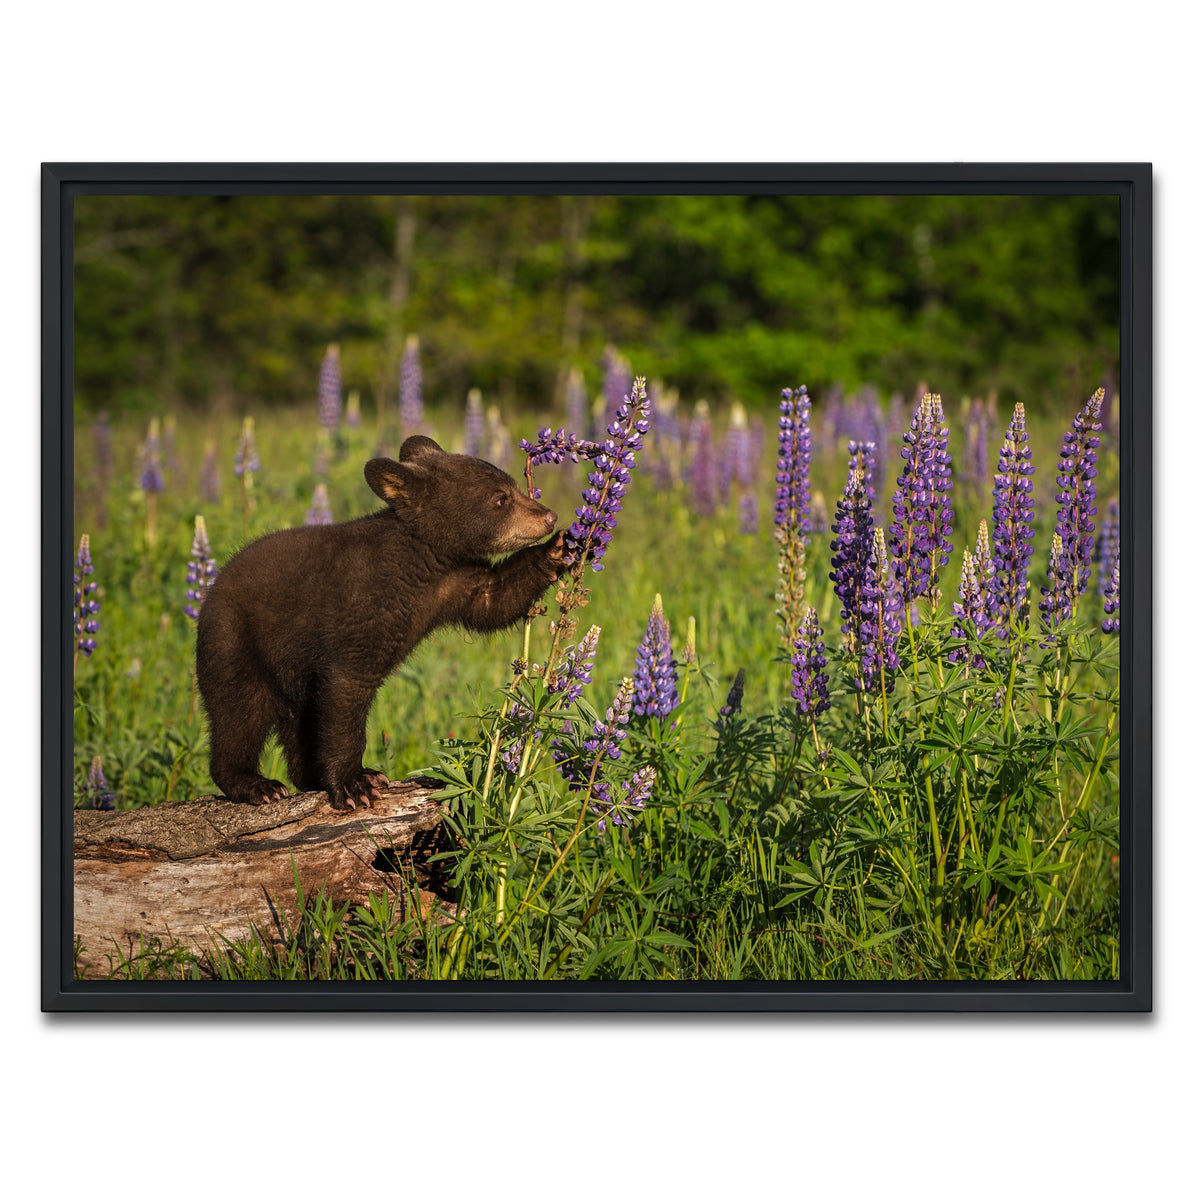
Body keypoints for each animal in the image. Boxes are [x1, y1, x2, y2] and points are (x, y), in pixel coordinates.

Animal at [195, 435, 567, 811]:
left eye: (515, 487)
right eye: (500, 498)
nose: (549, 516)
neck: (422, 562)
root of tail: (210, 592)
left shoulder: (454, 582)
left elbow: (495, 599)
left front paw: (561, 549)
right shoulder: (360, 612)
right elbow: (346, 695)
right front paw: (355, 784)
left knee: (298, 720)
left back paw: (308, 777)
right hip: (235, 642)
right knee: (241, 711)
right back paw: (256, 785)